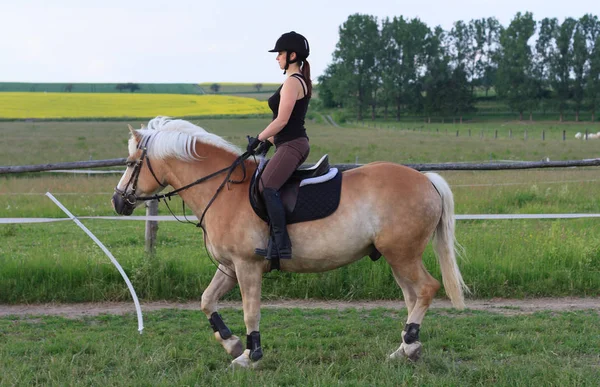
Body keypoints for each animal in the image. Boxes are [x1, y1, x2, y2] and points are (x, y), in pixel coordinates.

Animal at [111, 116, 468, 368]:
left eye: (130, 164)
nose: (118, 201)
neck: (223, 189)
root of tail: (425, 179)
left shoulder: (247, 266)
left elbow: (251, 312)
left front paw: (250, 355)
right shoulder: (228, 267)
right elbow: (206, 301)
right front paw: (232, 344)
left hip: (402, 255)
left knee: (426, 289)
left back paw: (410, 345)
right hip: (396, 257)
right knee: (412, 297)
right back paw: (406, 349)